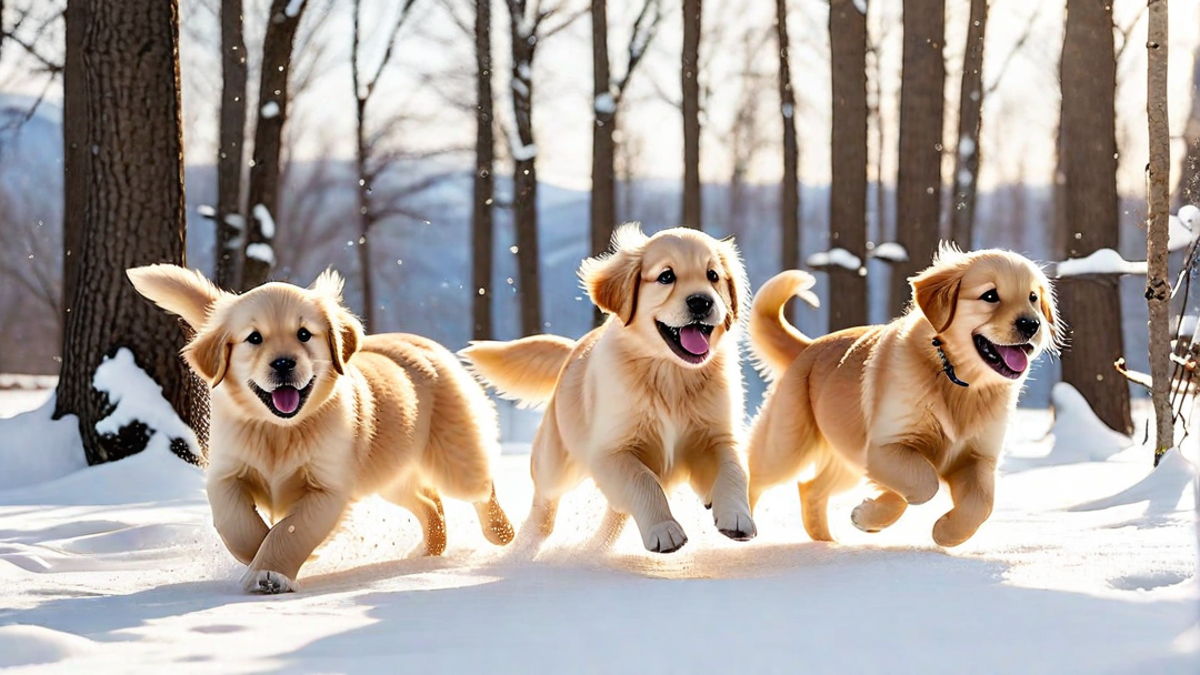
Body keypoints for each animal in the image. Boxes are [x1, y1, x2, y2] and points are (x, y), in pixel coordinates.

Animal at [124, 265, 513, 590]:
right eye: (254, 338)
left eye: (304, 334)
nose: (283, 363)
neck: (279, 430)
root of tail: (428, 344)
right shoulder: (227, 473)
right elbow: (237, 523)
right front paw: (258, 556)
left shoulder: (328, 487)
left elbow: (291, 530)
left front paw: (272, 571)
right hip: (389, 473)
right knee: (429, 502)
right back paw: (427, 551)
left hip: (452, 456)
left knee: (480, 486)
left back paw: (502, 533)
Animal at [463, 224, 753, 552]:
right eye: (666, 276)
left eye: (713, 275)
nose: (702, 302)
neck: (670, 373)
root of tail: (574, 348)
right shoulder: (610, 451)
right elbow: (644, 481)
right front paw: (665, 530)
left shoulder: (717, 437)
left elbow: (734, 470)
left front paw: (737, 517)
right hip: (555, 461)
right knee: (544, 506)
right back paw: (524, 547)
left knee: (614, 517)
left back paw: (594, 549)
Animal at [748, 243, 1060, 542]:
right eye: (990, 296)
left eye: (1033, 297)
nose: (1031, 324)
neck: (958, 380)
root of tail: (808, 346)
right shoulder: (884, 447)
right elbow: (925, 483)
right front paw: (873, 514)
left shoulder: (979, 457)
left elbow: (981, 504)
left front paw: (945, 532)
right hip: (786, 447)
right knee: (755, 478)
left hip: (844, 458)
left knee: (810, 488)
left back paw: (827, 543)